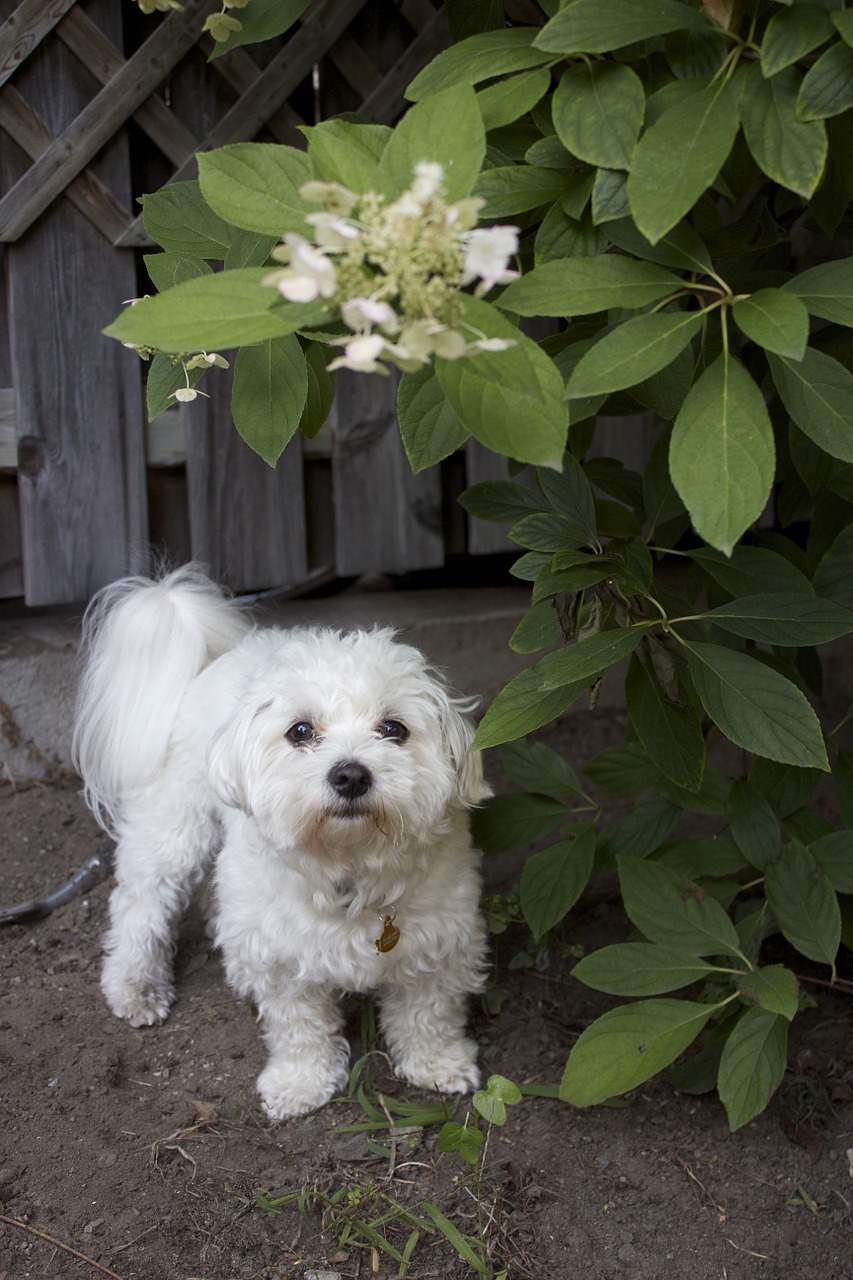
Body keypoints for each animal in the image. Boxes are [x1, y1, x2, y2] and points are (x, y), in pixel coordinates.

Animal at [74, 565, 484, 1116]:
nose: (350, 775)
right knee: (141, 901)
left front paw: (437, 1063)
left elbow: (428, 1012)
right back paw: (135, 985)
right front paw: (300, 1083)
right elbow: (299, 1026)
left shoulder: (439, 942)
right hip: (174, 824)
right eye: (301, 731)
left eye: (394, 729)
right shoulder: (279, 959)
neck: (348, 869)